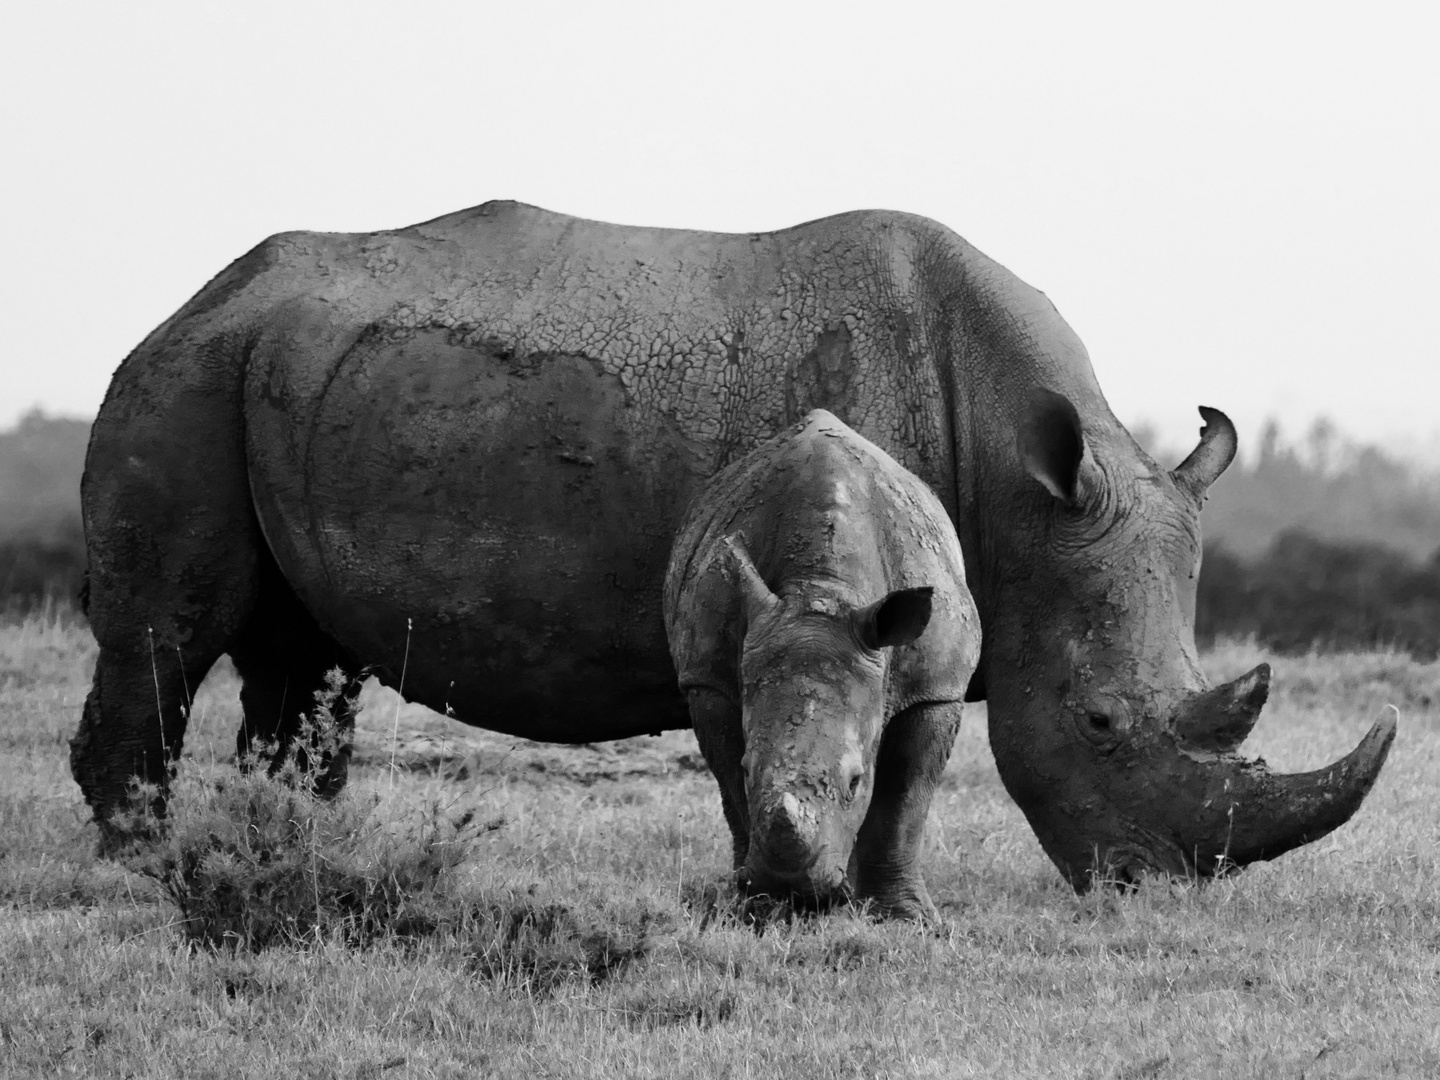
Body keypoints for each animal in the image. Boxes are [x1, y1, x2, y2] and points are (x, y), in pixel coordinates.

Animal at [662, 408, 979, 915]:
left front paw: (903, 917)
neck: (823, 590)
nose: (794, 891)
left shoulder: (936, 688)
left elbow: (903, 800)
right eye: (750, 769)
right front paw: (754, 906)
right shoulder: (706, 677)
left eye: (854, 782)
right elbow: (730, 785)